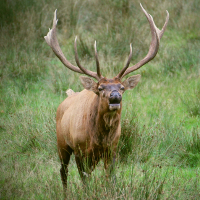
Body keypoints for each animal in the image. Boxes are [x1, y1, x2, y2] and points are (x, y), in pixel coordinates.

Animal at [45, 3, 169, 191]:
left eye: (122, 87)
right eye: (101, 88)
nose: (115, 96)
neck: (99, 139)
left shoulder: (113, 149)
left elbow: (111, 178)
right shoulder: (80, 150)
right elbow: (85, 180)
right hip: (61, 142)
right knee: (63, 172)